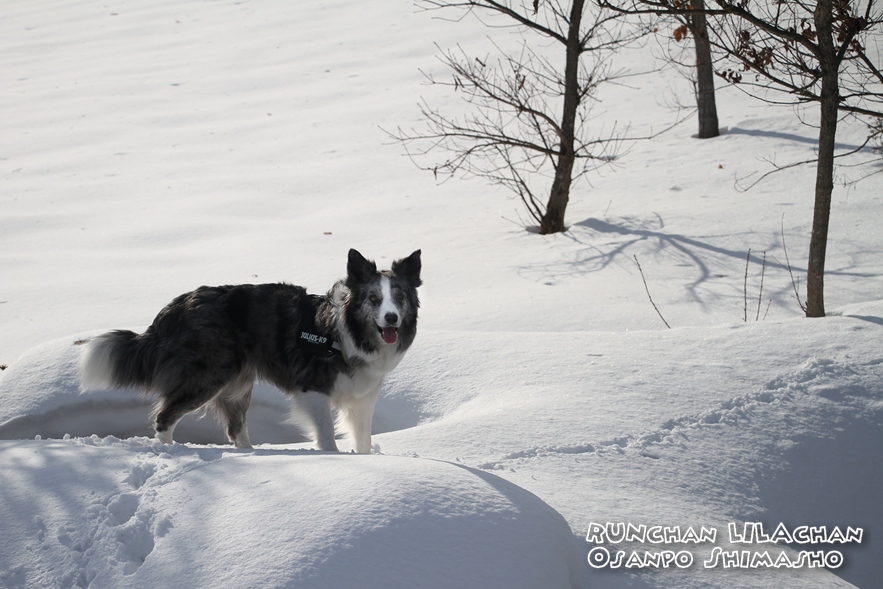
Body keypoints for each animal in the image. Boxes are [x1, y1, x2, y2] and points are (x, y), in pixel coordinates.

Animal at [80, 247, 422, 450]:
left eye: (399, 298)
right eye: (374, 299)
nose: (391, 318)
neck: (345, 334)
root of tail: (176, 306)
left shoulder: (363, 398)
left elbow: (363, 440)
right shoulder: (313, 390)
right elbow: (326, 437)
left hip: (238, 384)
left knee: (235, 428)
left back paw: (249, 455)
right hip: (208, 375)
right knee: (165, 416)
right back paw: (169, 452)